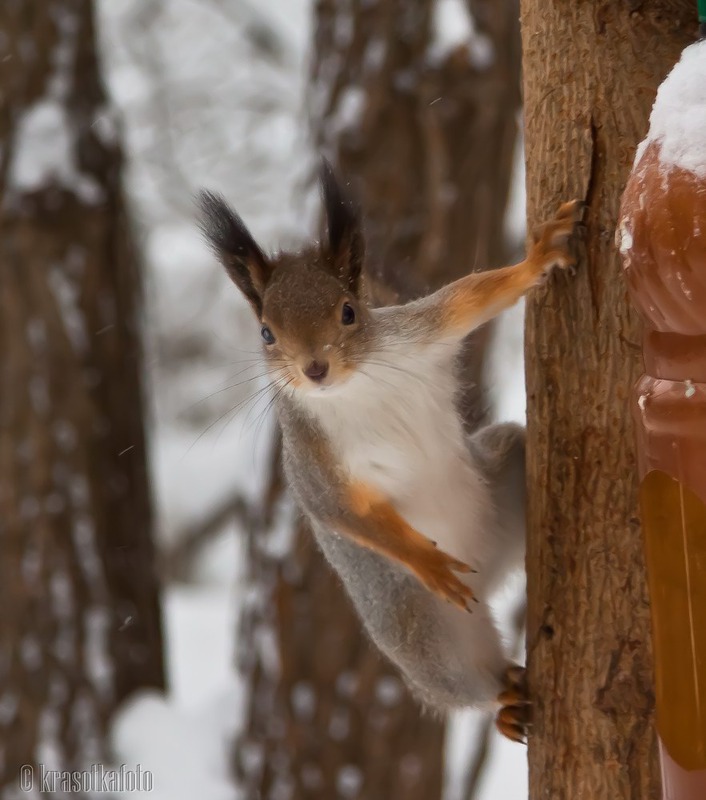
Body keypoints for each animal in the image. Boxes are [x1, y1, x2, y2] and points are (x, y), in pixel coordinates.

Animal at [197, 164, 576, 744]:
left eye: (349, 312)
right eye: (266, 333)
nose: (315, 368)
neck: (353, 388)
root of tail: (486, 577)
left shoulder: (415, 334)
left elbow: (468, 299)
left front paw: (537, 259)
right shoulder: (309, 464)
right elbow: (346, 513)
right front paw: (429, 561)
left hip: (506, 465)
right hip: (421, 634)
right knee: (463, 683)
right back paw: (503, 699)